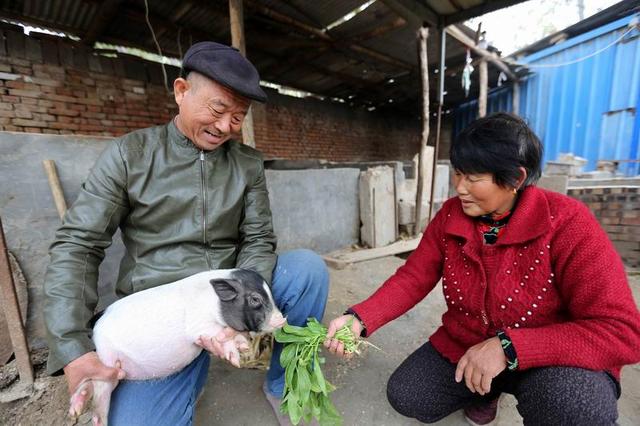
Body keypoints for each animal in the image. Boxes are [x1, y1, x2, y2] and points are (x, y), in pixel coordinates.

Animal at [67, 270, 284, 426]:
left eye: (271, 295)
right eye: (255, 299)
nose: (282, 319)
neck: (215, 304)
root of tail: (96, 323)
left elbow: (233, 335)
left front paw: (244, 348)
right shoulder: (200, 326)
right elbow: (219, 333)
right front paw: (236, 358)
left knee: (88, 384)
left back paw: (75, 410)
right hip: (107, 359)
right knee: (99, 395)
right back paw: (96, 420)